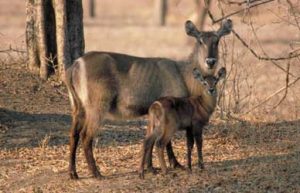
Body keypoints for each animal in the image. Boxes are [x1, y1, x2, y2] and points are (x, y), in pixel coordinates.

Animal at [65, 20, 232, 179]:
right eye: (200, 41)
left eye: (217, 40)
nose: (210, 61)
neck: (184, 77)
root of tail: (74, 65)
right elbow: (166, 141)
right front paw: (175, 164)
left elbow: (149, 138)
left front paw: (150, 167)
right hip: (97, 106)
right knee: (86, 136)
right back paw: (96, 173)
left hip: (78, 107)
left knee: (73, 134)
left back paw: (73, 173)